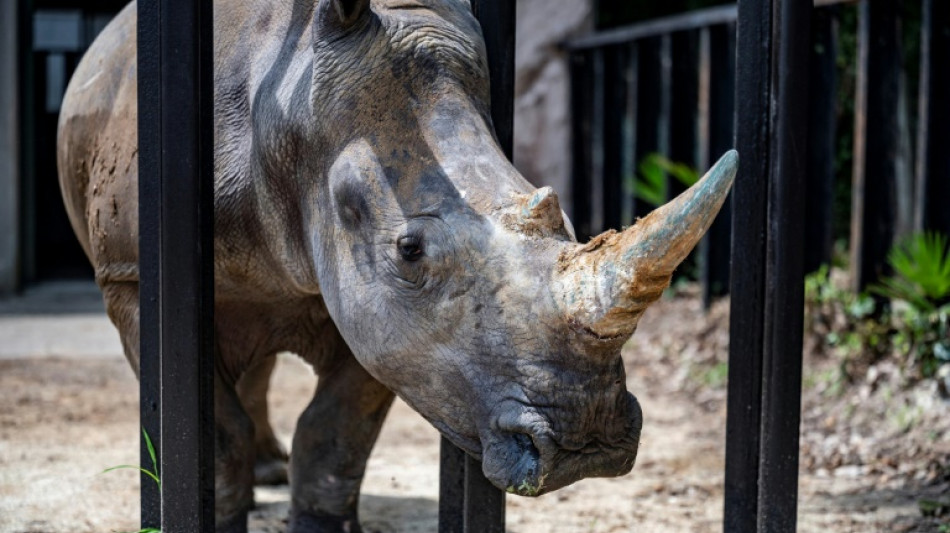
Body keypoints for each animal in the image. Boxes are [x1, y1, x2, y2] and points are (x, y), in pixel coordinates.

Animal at [56, 0, 738, 531]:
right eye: (410, 250)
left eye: (567, 223)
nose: (587, 443)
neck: (282, 107)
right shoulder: (131, 274)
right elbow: (217, 432)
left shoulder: (390, 324)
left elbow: (337, 430)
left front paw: (322, 526)